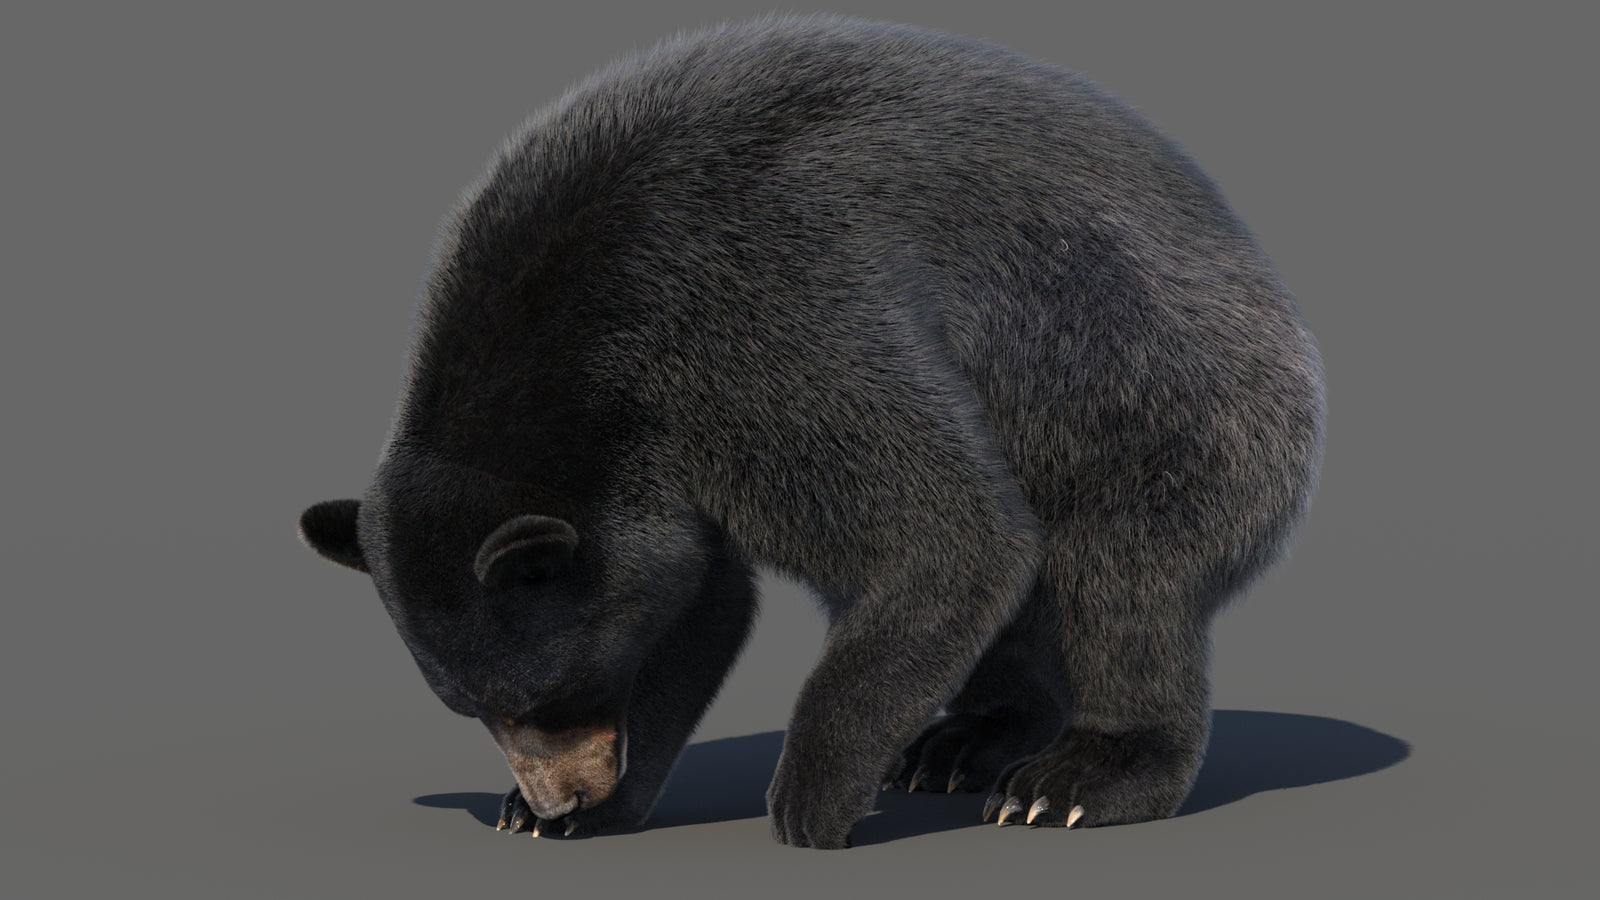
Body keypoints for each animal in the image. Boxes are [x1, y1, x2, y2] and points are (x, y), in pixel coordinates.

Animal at [298, 15, 1324, 850]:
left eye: (547, 696)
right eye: (474, 708)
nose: (558, 798)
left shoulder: (760, 328)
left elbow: (949, 531)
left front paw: (809, 799)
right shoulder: (661, 451)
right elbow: (700, 602)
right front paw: (579, 808)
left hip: (1159, 395)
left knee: (1124, 576)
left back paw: (1074, 778)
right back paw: (963, 741)